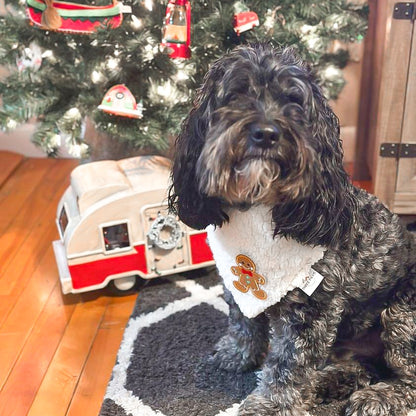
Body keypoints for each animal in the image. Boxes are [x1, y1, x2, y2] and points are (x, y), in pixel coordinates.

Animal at [168, 44, 416, 414]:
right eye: (237, 94)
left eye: (294, 102)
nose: (266, 133)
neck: (261, 208)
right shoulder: (235, 285)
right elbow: (243, 323)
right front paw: (237, 354)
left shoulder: (312, 310)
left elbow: (290, 363)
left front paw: (272, 404)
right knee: (363, 366)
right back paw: (332, 381)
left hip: (402, 315)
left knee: (407, 375)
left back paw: (379, 397)